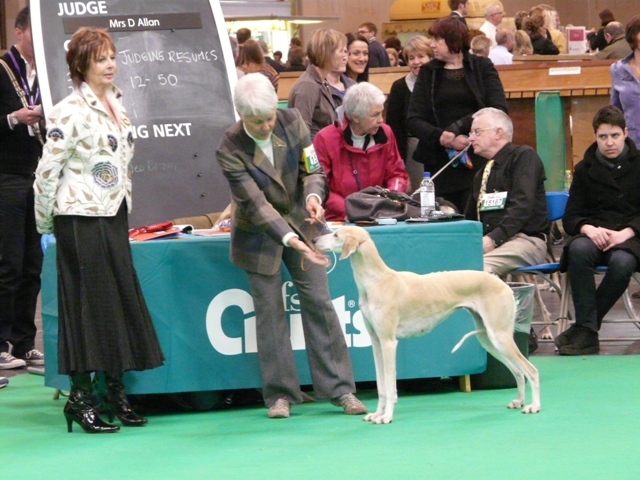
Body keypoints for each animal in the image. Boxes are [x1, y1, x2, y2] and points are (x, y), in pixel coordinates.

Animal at [316, 225, 540, 424]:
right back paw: (519, 401)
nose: (315, 240)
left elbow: (390, 386)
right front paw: (377, 414)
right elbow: (381, 386)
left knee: (531, 371)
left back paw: (534, 406)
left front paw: (386, 416)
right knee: (518, 371)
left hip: (499, 336)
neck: (377, 280)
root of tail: (504, 285)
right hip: (488, 339)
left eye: (336, 235)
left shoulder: (388, 342)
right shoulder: (376, 342)